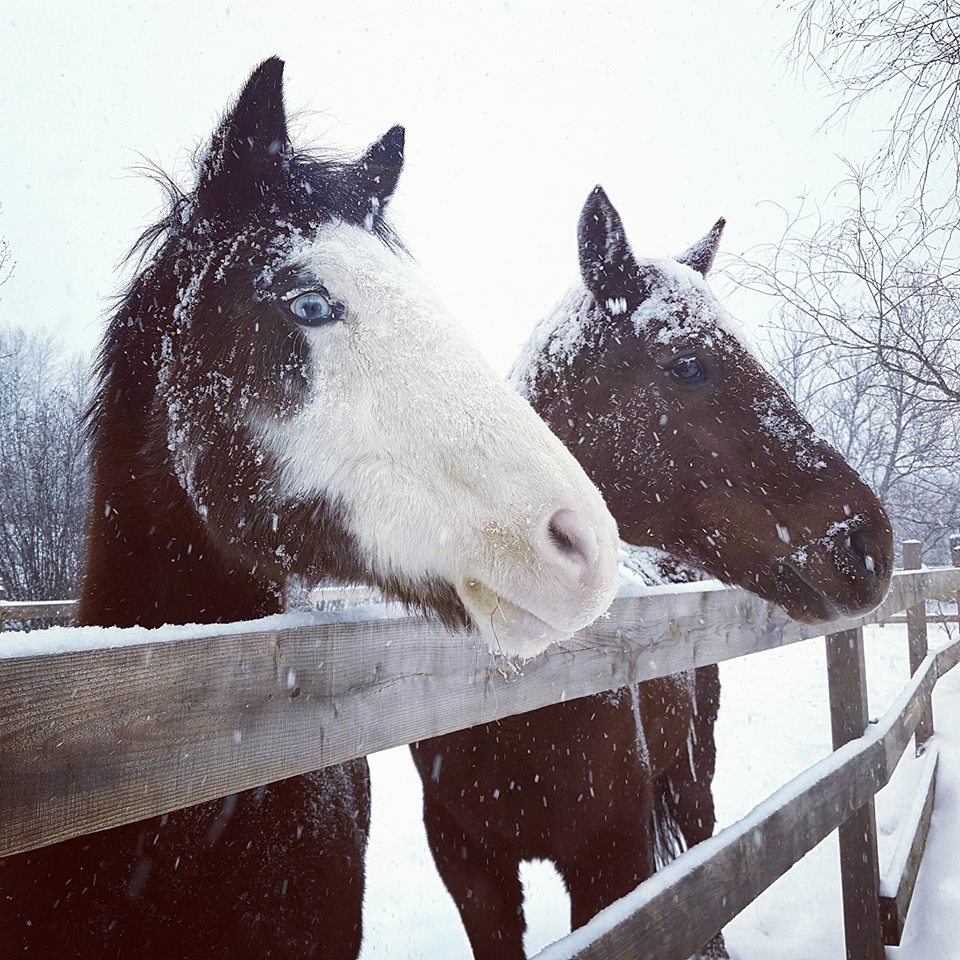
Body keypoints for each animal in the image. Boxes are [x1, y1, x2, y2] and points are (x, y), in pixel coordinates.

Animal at [410, 188, 892, 960]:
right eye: (686, 363)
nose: (869, 544)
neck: (515, 701)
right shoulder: (472, 873)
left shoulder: (614, 860)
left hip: (693, 774)